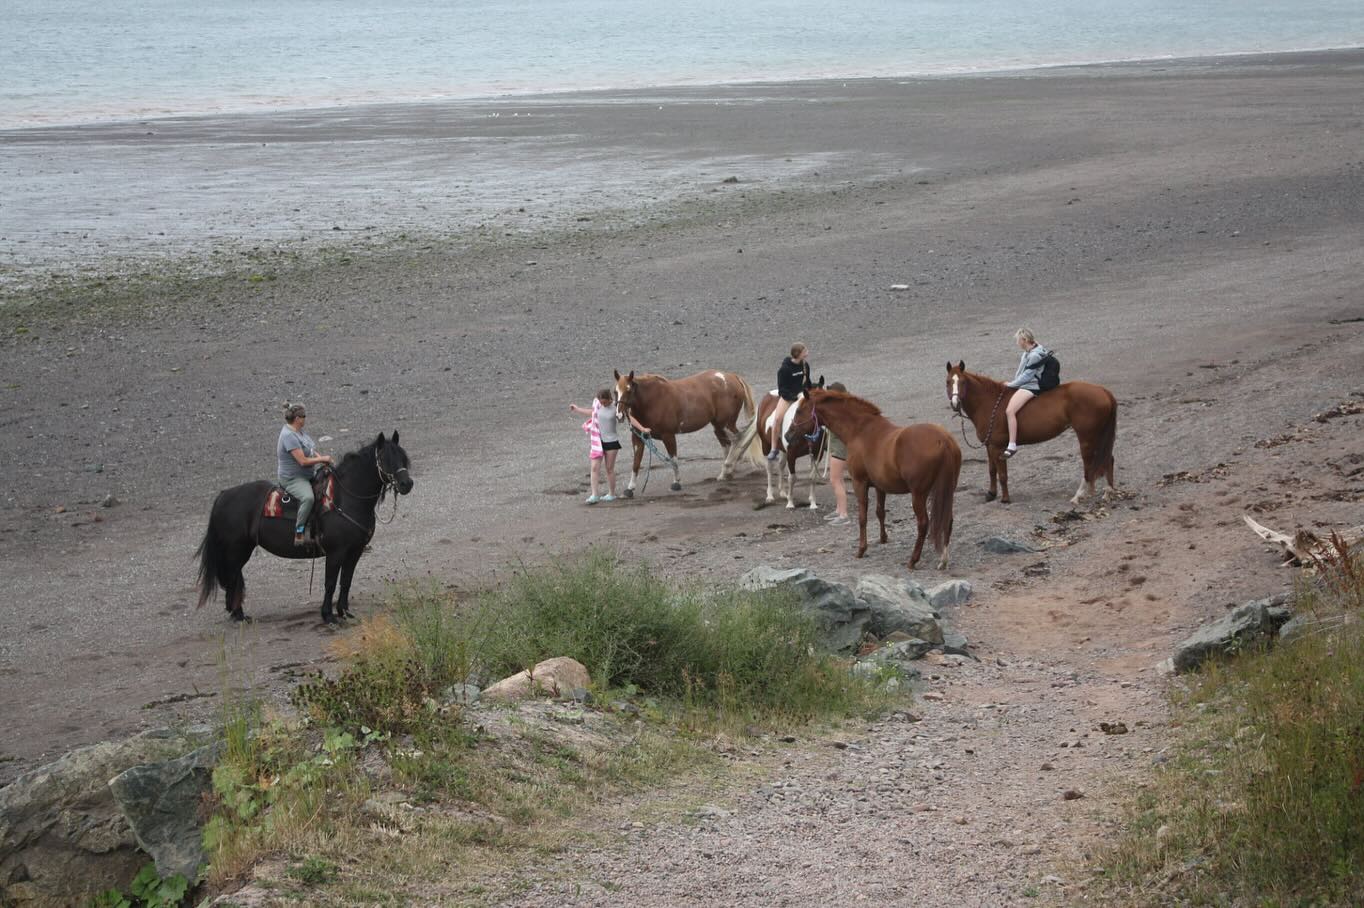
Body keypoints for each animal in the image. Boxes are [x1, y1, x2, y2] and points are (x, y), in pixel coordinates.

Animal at [195, 432, 413, 623]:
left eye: (402, 457)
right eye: (385, 459)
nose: (406, 484)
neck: (345, 498)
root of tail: (223, 495)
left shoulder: (355, 550)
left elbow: (346, 581)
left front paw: (344, 612)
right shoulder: (336, 552)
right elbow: (330, 583)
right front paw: (328, 616)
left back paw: (235, 612)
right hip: (236, 550)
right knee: (233, 577)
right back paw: (239, 615)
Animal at [612, 368, 759, 496]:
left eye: (629, 389)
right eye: (615, 391)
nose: (619, 416)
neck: (653, 400)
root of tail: (731, 376)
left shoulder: (668, 435)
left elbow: (673, 460)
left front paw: (676, 483)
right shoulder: (638, 437)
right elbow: (636, 463)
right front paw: (630, 489)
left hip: (726, 424)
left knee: (739, 439)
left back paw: (728, 469)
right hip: (718, 426)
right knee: (728, 444)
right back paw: (728, 471)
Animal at [788, 382, 961, 570]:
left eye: (799, 411)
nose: (787, 435)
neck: (860, 431)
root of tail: (944, 440)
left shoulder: (859, 483)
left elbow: (863, 517)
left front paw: (861, 549)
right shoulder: (880, 486)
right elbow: (880, 512)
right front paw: (883, 538)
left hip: (919, 494)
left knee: (923, 523)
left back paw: (913, 560)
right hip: (947, 491)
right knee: (948, 521)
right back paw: (943, 559)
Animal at [945, 361, 1117, 505]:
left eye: (962, 382)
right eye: (948, 382)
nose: (955, 403)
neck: (989, 402)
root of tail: (1103, 391)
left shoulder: (998, 447)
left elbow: (1002, 475)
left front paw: (1005, 499)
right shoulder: (989, 446)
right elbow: (992, 471)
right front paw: (991, 494)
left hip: (1087, 437)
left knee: (1089, 463)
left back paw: (1079, 495)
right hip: (1099, 436)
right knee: (1108, 459)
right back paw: (1107, 493)